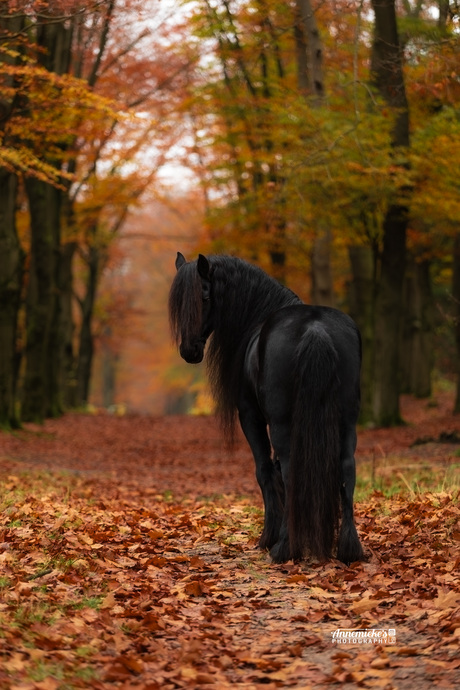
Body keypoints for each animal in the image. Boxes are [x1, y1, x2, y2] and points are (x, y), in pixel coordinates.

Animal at [168, 253, 362, 564]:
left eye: (205, 296)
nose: (189, 351)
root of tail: (315, 329)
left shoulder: (251, 417)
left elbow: (265, 471)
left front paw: (268, 537)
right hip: (346, 421)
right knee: (347, 468)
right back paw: (349, 548)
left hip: (282, 423)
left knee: (289, 470)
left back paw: (284, 547)